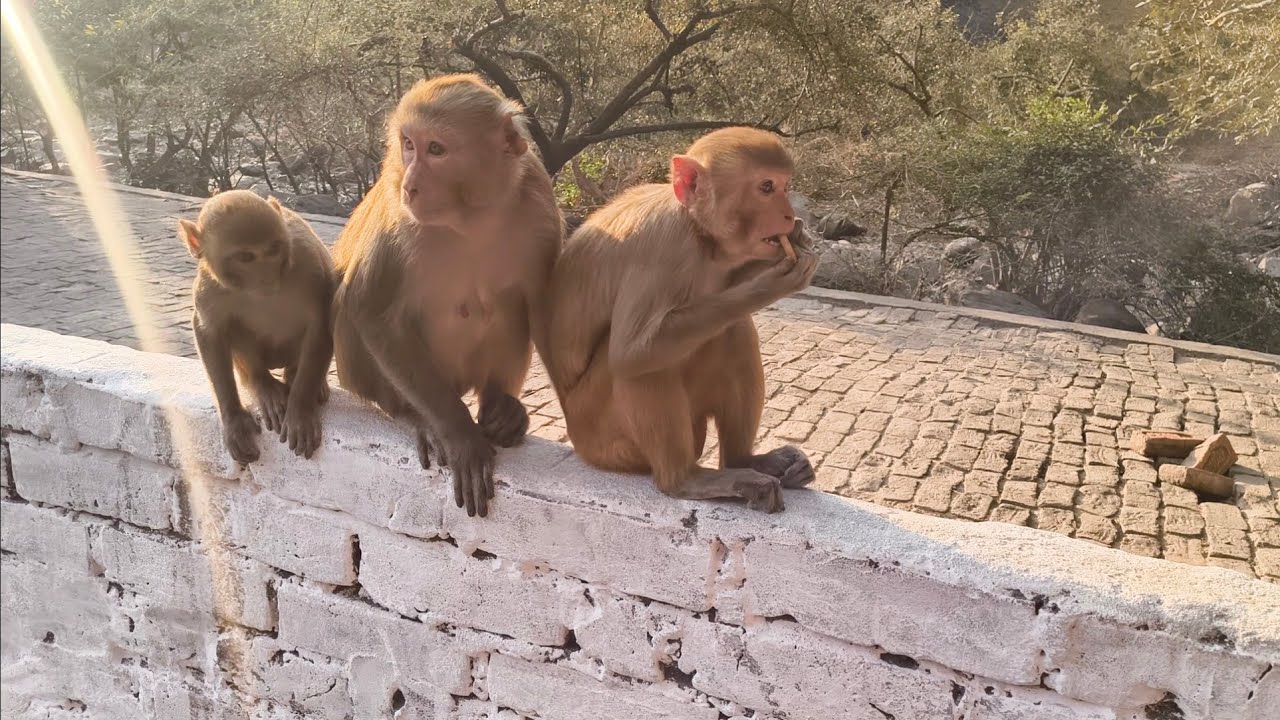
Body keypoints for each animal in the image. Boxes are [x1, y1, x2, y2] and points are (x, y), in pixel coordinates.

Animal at [179, 190, 335, 464]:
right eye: (246, 257)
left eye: (273, 249)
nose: (267, 276)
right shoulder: (211, 286)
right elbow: (210, 331)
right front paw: (233, 420)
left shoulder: (310, 265)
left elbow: (319, 323)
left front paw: (300, 410)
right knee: (233, 330)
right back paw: (263, 384)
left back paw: (301, 380)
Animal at [329, 74, 561, 518]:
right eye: (408, 144)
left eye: (436, 149)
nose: (412, 185)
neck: (470, 217)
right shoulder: (398, 218)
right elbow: (368, 307)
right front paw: (458, 433)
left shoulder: (540, 204)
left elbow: (539, 306)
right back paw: (410, 413)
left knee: (508, 305)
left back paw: (500, 410)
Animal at [542, 128, 819, 513]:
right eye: (766, 187)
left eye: (784, 185)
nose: (789, 216)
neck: (698, 232)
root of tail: (577, 439)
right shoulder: (661, 245)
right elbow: (632, 354)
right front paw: (771, 282)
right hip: (603, 437)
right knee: (640, 365)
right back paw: (685, 479)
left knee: (733, 328)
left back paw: (744, 460)